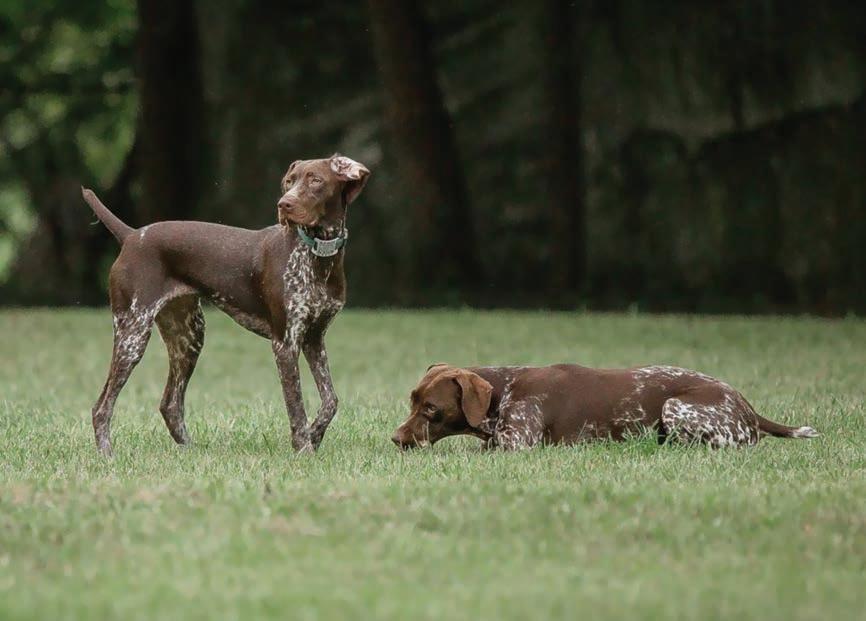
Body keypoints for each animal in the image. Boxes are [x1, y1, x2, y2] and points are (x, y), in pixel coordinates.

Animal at [82, 154, 370, 455]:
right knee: (101, 407)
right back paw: (106, 455)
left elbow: (330, 401)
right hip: (132, 336)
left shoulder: (314, 338)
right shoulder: (285, 343)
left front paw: (315, 435)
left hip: (188, 337)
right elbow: (296, 406)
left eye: (315, 180)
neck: (319, 256)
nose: (284, 204)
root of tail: (131, 235)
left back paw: (190, 451)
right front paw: (303, 448)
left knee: (170, 404)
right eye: (289, 182)